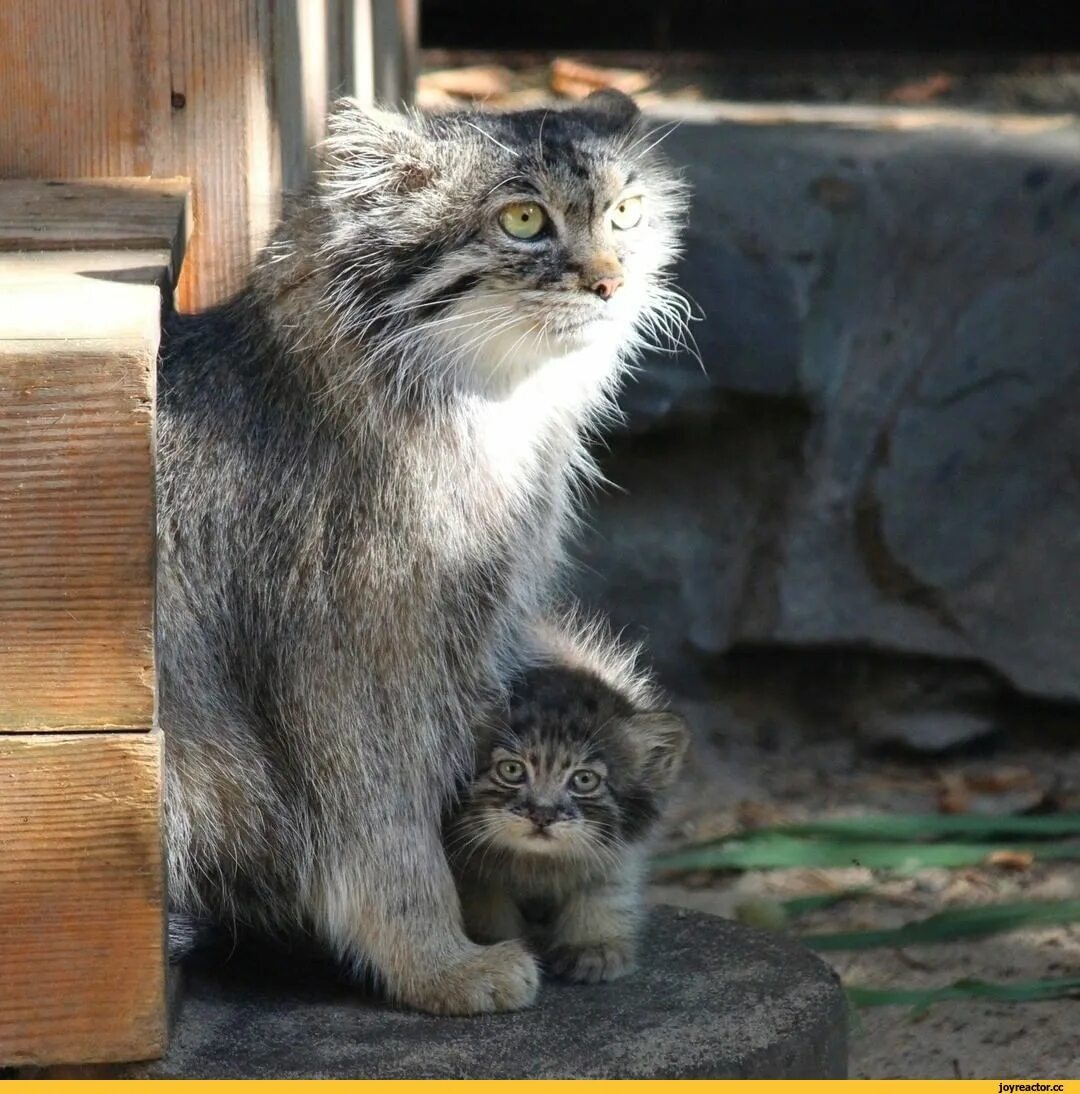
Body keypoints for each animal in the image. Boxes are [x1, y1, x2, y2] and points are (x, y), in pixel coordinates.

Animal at [446, 660, 682, 988]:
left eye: (584, 779)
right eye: (511, 770)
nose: (542, 814)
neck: (539, 865)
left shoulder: (619, 854)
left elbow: (606, 890)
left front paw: (593, 945)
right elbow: (485, 897)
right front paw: (492, 941)